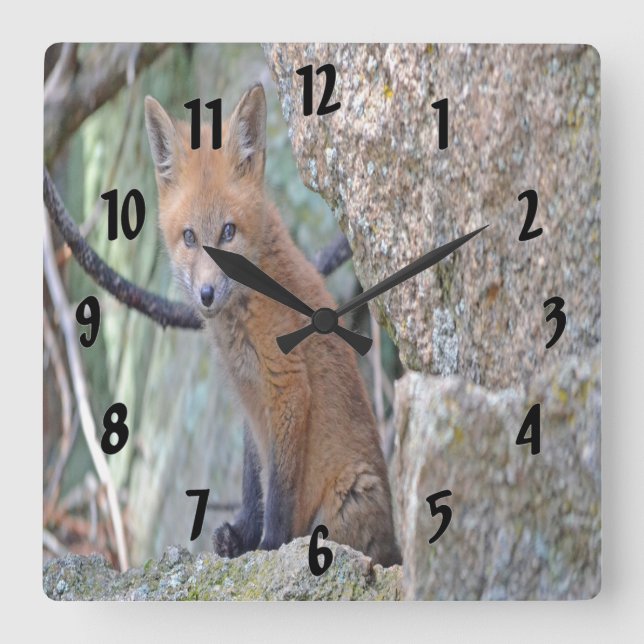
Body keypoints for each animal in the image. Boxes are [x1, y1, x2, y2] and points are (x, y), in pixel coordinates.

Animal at [144, 83, 401, 567]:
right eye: (189, 237)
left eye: (228, 232)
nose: (206, 295)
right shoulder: (249, 400)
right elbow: (253, 483)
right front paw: (244, 536)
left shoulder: (288, 386)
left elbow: (279, 490)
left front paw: (270, 546)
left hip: (351, 494)